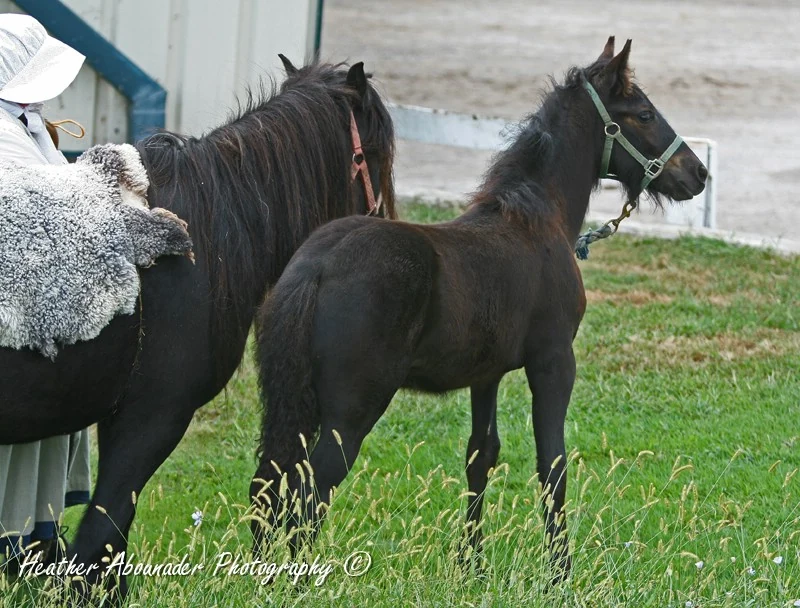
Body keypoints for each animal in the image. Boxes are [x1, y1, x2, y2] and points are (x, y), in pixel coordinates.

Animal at [251, 38, 707, 579]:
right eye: (643, 113)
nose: (698, 173)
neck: (536, 218)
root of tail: (314, 266)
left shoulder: (485, 373)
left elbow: (480, 455)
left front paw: (472, 564)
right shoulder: (554, 362)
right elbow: (553, 466)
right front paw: (559, 574)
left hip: (292, 402)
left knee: (267, 485)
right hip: (351, 408)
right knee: (309, 491)